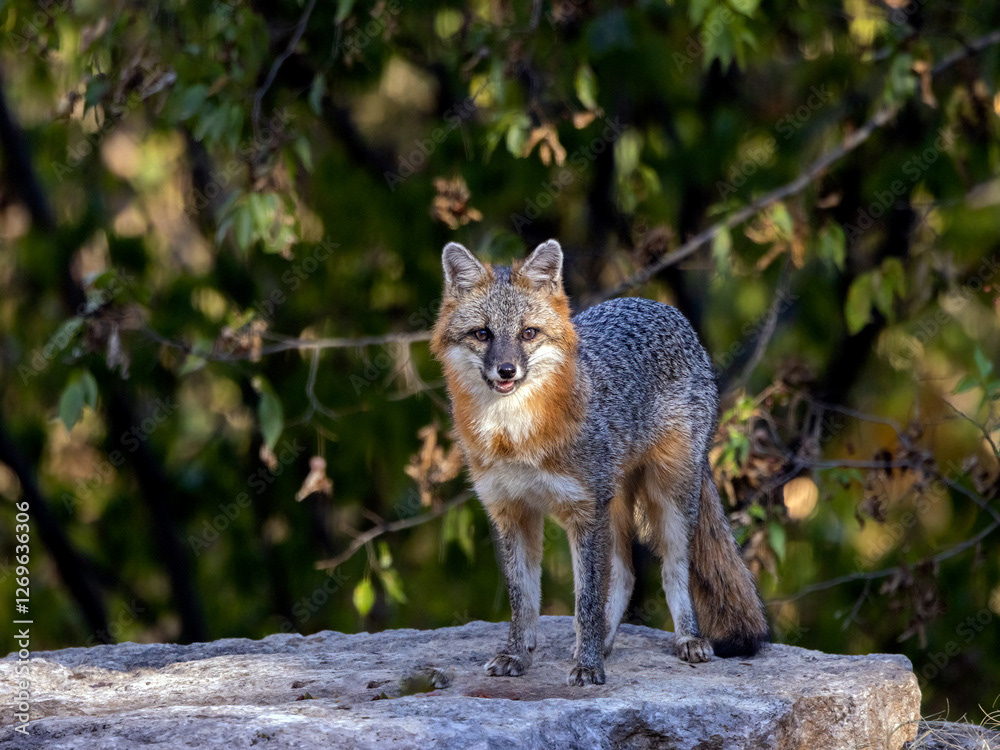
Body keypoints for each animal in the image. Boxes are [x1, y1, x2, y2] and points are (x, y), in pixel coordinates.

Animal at [430, 239, 769, 686]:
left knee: (672, 569)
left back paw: (686, 638)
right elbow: (524, 600)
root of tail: (657, 305)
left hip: (668, 498)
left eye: (528, 333)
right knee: (626, 575)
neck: (515, 437)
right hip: (618, 504)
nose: (506, 370)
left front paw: (589, 667)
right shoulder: (511, 511)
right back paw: (602, 644)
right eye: (482, 334)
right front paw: (518, 654)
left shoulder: (585, 511)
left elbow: (587, 600)